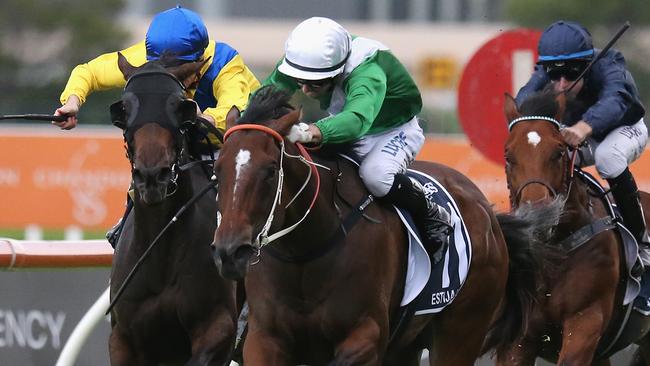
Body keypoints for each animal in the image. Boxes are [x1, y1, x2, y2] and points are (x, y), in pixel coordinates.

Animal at [209, 85, 552, 364]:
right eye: (218, 168)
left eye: (269, 170)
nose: (230, 252)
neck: (306, 254)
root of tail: (489, 215)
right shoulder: (264, 340)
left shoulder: (366, 337)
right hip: (408, 345)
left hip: (461, 330)